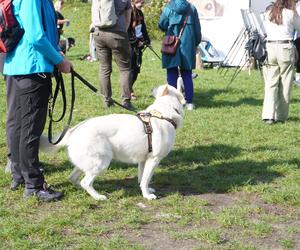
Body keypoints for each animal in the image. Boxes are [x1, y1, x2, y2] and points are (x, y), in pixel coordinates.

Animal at [40, 85, 185, 200]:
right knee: (85, 182)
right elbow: (145, 179)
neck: (163, 113)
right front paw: (147, 196)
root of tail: (74, 130)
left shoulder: (143, 160)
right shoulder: (154, 159)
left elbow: (142, 178)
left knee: (74, 179)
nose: (151, 88)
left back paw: (87, 193)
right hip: (101, 162)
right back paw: (98, 197)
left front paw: (146, 191)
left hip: (87, 163)